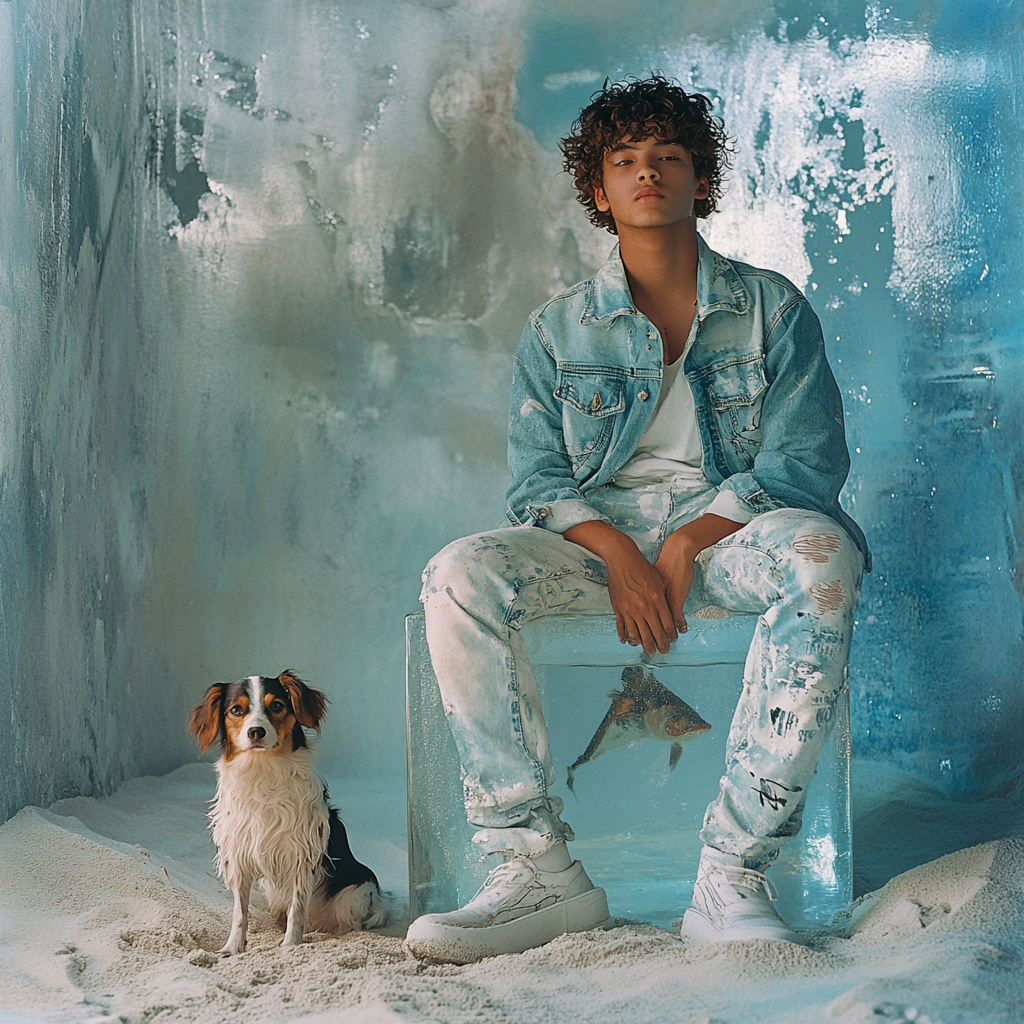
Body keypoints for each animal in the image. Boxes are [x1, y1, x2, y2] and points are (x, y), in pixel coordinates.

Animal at [188, 671, 387, 950]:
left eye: (277, 706)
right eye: (236, 710)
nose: (256, 731)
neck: (263, 769)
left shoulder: (302, 856)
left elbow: (297, 909)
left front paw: (290, 946)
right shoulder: (239, 856)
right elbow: (240, 913)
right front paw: (233, 948)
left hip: (356, 894)